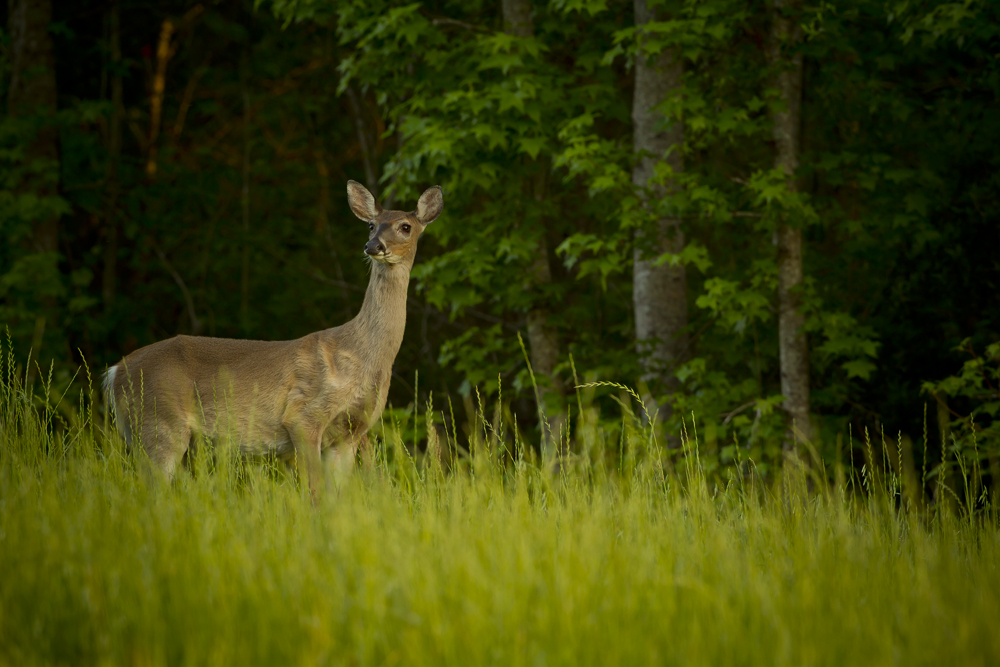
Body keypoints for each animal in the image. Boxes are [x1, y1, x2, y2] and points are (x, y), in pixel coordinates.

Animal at [103, 181, 444, 500]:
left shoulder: (350, 434)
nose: (373, 245)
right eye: (371, 225)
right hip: (159, 422)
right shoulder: (303, 415)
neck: (362, 356)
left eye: (405, 227)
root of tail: (114, 372)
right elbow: (316, 494)